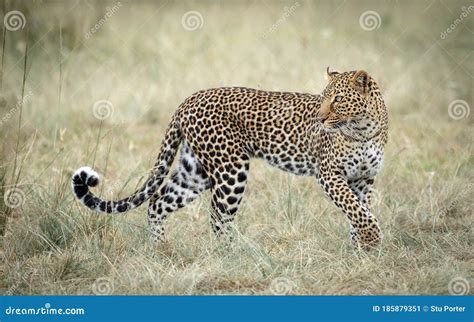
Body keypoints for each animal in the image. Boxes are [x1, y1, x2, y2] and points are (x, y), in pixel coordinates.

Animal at [71, 68, 388, 249]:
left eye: (338, 99)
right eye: (323, 98)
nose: (320, 119)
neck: (363, 129)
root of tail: (187, 101)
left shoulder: (364, 178)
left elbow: (359, 211)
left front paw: (361, 249)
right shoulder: (330, 174)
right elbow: (358, 211)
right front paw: (373, 239)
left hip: (195, 171)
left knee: (158, 202)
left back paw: (161, 250)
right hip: (231, 168)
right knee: (218, 216)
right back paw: (235, 254)